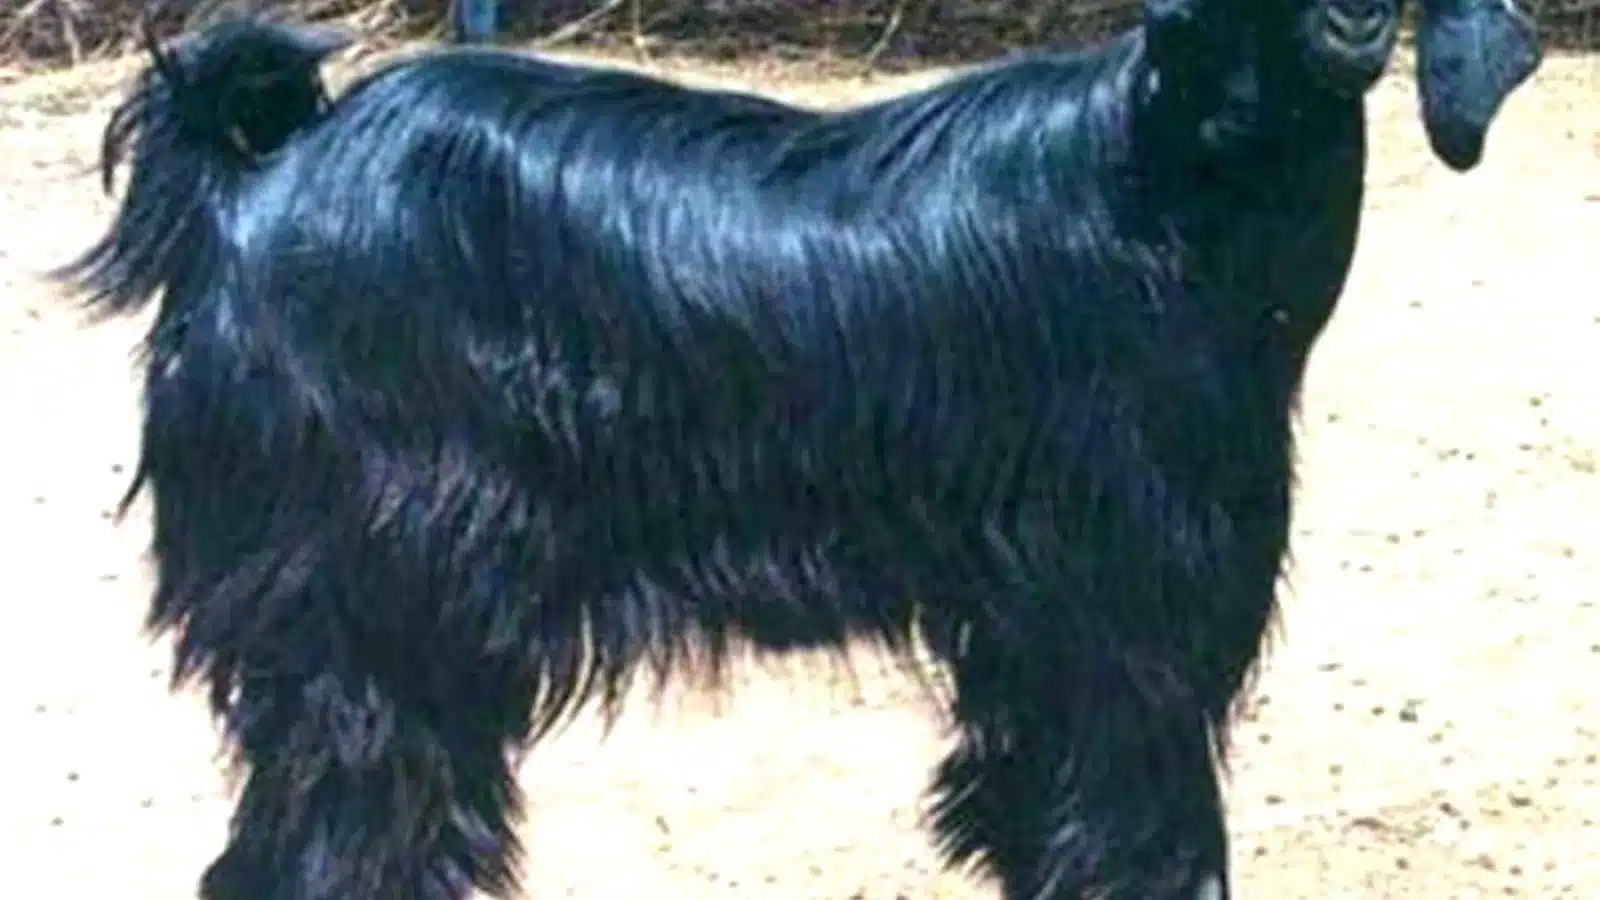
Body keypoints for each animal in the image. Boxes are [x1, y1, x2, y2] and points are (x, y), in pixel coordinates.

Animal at [54, 1, 1541, 898]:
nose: (1344, 29)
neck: (1174, 177)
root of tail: (256, 175)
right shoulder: (1127, 616)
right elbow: (1139, 829)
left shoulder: (1047, 640)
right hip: (371, 609)